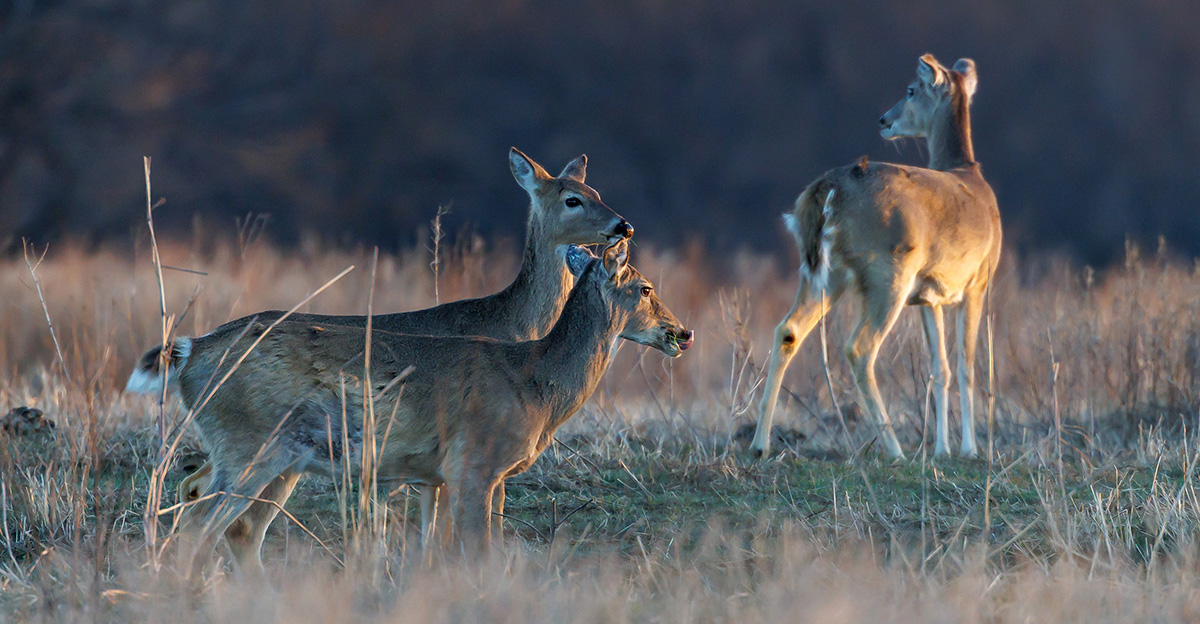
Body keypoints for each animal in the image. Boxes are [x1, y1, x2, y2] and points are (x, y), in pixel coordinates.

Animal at [130, 147, 632, 576]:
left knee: (196, 491)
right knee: (211, 510)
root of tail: (193, 348)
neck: (514, 325)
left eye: (597, 190)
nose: (623, 225)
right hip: (257, 447)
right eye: (572, 199)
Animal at [751, 54, 1002, 460]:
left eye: (910, 90)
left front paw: (942, 450)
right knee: (860, 347)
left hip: (823, 272)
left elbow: (941, 369)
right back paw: (894, 449)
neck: (967, 174)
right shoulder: (977, 280)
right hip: (889, 271)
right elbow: (966, 366)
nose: (884, 119)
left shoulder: (929, 297)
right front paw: (969, 449)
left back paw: (760, 444)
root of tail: (830, 186)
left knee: (788, 330)